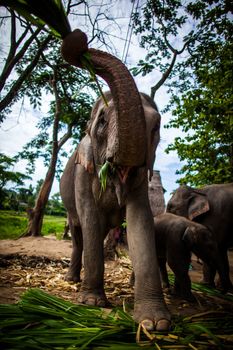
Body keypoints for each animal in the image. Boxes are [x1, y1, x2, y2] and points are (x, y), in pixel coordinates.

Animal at [60, 91, 169, 330]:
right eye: (102, 120)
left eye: (156, 126)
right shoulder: (82, 172)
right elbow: (90, 217)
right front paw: (92, 302)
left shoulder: (141, 182)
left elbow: (140, 221)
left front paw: (154, 323)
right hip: (69, 209)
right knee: (79, 236)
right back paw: (71, 280)